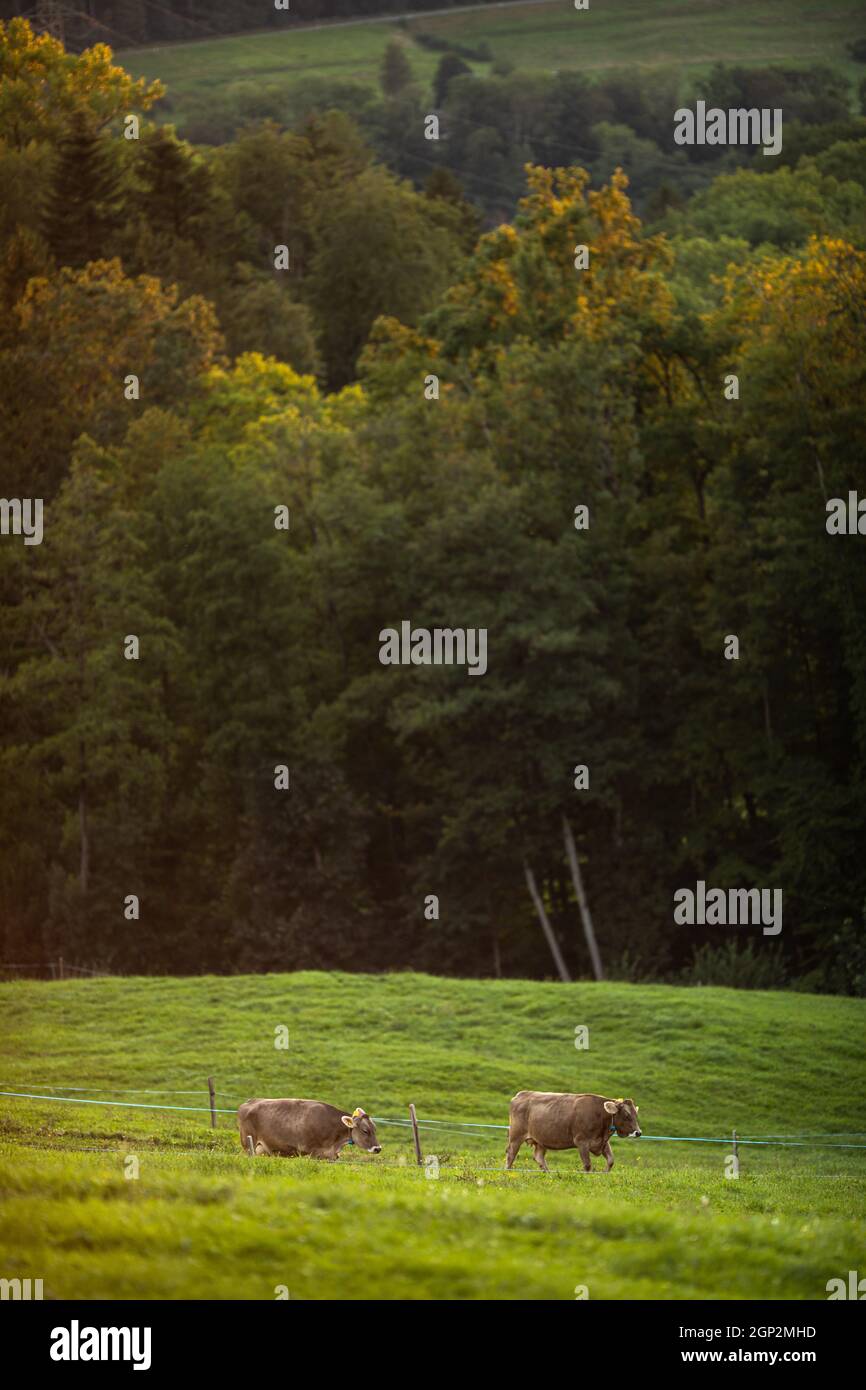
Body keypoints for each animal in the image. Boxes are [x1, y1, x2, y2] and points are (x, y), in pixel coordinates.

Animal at [240, 1095, 383, 1162]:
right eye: (365, 1130)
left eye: (375, 1129)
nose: (378, 1149)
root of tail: (250, 1101)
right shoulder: (314, 1153)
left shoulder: (331, 1156)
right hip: (248, 1144)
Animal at [505, 1089, 639, 1167]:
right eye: (626, 1115)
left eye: (636, 1115)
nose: (638, 1132)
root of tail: (521, 1094)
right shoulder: (582, 1141)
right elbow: (587, 1164)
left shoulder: (602, 1142)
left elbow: (611, 1161)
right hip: (516, 1136)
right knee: (511, 1154)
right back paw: (507, 1171)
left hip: (541, 1140)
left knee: (539, 1158)